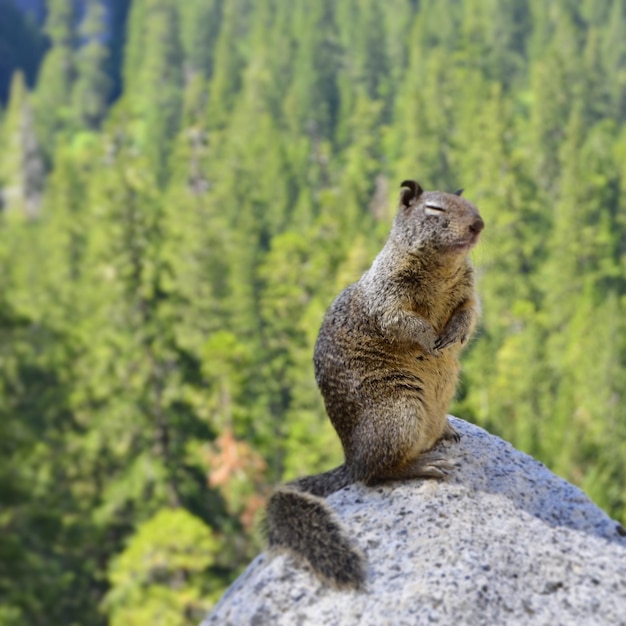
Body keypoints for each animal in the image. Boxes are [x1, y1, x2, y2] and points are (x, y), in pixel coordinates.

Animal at [264, 178, 482, 588]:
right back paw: (423, 465)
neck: (443, 269)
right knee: (375, 473)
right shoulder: (387, 296)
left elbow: (470, 313)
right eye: (435, 209)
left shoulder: (468, 291)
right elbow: (401, 320)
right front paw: (429, 338)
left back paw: (445, 431)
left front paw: (453, 335)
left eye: (472, 204)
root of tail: (350, 458)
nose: (478, 224)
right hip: (399, 412)